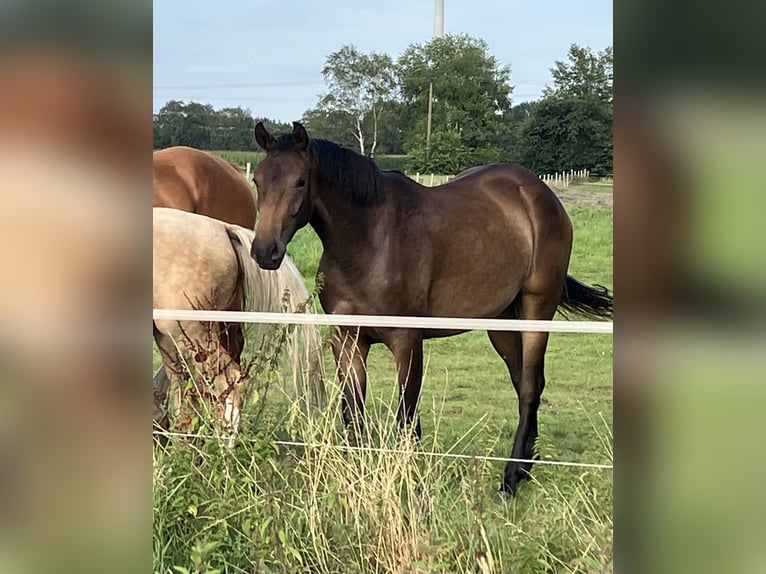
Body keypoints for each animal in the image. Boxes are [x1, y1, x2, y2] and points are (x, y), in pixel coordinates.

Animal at [249, 122, 616, 500]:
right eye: (258, 181)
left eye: (300, 181)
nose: (265, 250)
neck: (368, 241)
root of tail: (540, 194)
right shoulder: (348, 341)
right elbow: (354, 415)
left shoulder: (407, 342)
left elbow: (407, 418)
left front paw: (408, 484)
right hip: (501, 323)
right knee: (524, 382)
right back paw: (527, 465)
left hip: (537, 309)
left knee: (529, 387)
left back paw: (511, 477)